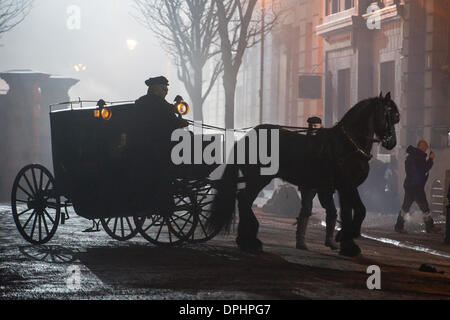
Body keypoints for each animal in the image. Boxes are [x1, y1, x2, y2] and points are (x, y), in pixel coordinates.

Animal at [207, 92, 400, 258]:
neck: (349, 144)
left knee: (244, 201)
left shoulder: (344, 188)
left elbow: (347, 214)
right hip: (258, 178)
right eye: (388, 113)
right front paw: (347, 237)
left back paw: (246, 241)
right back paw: (250, 241)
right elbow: (360, 210)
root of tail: (249, 135)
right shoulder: (348, 186)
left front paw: (348, 245)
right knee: (245, 200)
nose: (391, 143)